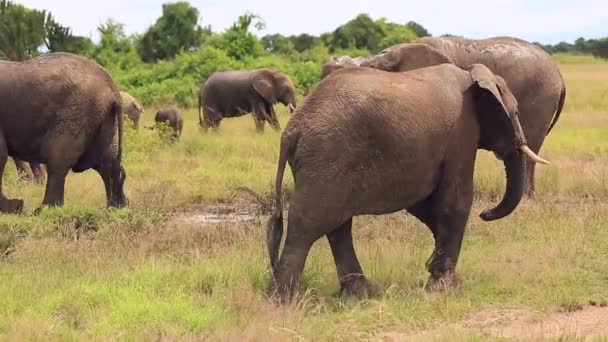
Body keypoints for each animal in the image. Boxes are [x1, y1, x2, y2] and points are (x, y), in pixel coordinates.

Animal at [0, 51, 128, 211]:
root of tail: (113, 90)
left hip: (76, 113)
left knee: (59, 161)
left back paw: (43, 210)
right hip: (104, 118)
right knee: (107, 162)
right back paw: (117, 207)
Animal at [266, 62, 552, 300]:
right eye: (516, 113)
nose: (486, 214)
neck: (473, 75)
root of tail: (291, 131)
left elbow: (426, 205)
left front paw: (436, 271)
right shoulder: (462, 132)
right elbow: (455, 201)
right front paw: (446, 286)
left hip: (326, 164)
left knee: (337, 225)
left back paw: (362, 294)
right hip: (327, 156)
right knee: (308, 225)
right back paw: (284, 301)